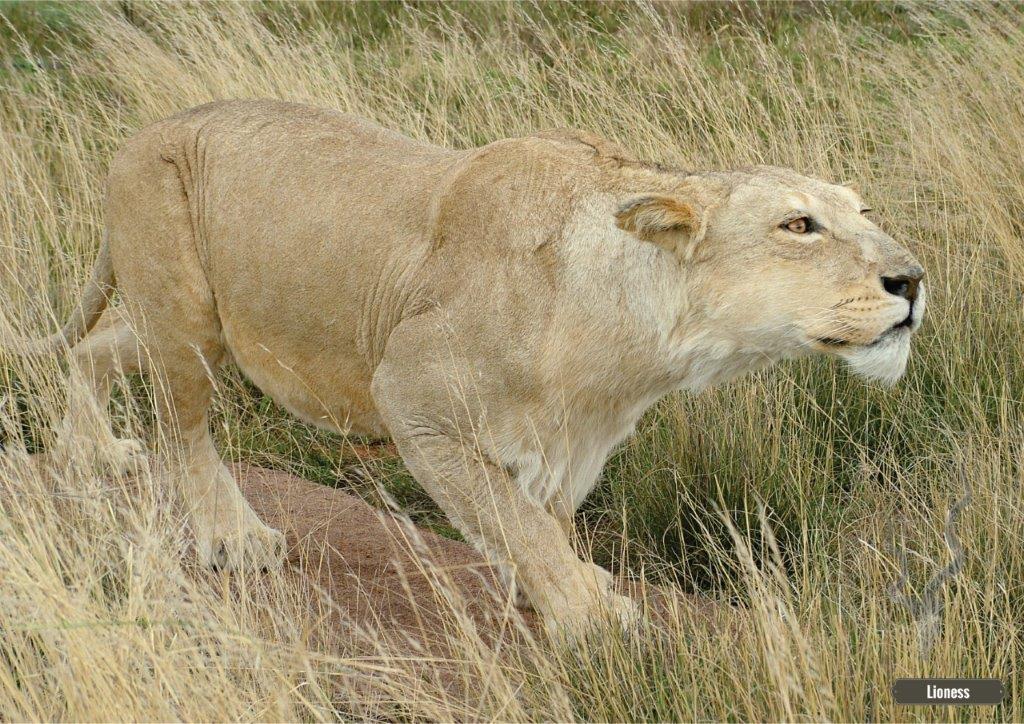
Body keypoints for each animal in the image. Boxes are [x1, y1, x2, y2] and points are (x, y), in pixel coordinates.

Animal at [6, 100, 925, 635]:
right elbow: (514, 518)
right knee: (185, 426)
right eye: (798, 225)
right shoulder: (411, 396)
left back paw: (88, 453)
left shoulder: (571, 440)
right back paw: (233, 536)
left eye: (863, 213)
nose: (912, 279)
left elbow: (540, 518)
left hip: (199, 321)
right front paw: (587, 612)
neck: (640, 346)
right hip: (185, 309)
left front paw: (556, 591)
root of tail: (147, 131)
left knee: (95, 349)